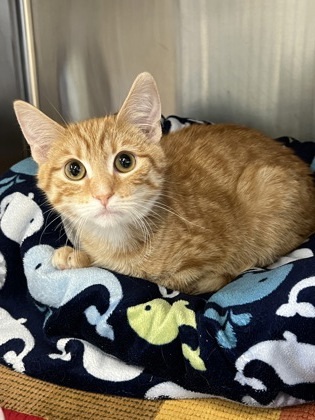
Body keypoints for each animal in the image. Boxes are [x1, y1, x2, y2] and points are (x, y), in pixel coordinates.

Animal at [13, 72, 315, 294]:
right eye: (74, 169)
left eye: (125, 161)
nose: (103, 195)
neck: (120, 242)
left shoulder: (203, 267)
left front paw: (81, 258)